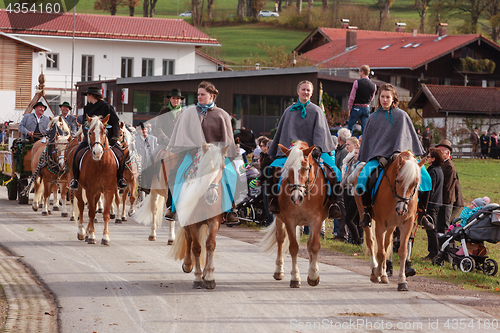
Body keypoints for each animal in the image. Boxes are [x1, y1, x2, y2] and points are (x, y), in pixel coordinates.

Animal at [73, 115, 117, 245]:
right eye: (90, 132)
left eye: (104, 132)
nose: (97, 152)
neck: (100, 164)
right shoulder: (89, 190)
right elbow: (91, 212)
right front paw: (92, 235)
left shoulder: (108, 190)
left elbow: (106, 213)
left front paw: (105, 237)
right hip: (78, 188)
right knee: (81, 206)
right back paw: (82, 232)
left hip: (98, 192)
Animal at [170, 143, 229, 288]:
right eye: (205, 167)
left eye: (222, 167)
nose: (212, 197)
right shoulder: (192, 222)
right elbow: (196, 248)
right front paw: (197, 278)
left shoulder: (214, 221)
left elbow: (210, 244)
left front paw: (209, 277)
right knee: (189, 239)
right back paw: (187, 265)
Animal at [262, 141, 328, 286]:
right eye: (288, 168)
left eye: (306, 168)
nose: (296, 198)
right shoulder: (289, 221)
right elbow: (293, 248)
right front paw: (295, 278)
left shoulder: (316, 220)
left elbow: (314, 246)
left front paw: (313, 274)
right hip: (280, 220)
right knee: (280, 239)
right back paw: (279, 271)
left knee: (309, 244)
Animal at [352, 150, 426, 290]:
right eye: (398, 180)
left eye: (415, 184)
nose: (402, 209)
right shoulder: (380, 225)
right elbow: (380, 252)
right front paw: (376, 273)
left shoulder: (406, 225)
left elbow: (402, 251)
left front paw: (402, 281)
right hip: (364, 214)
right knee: (371, 241)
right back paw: (375, 269)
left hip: (391, 225)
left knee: (386, 244)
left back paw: (384, 274)